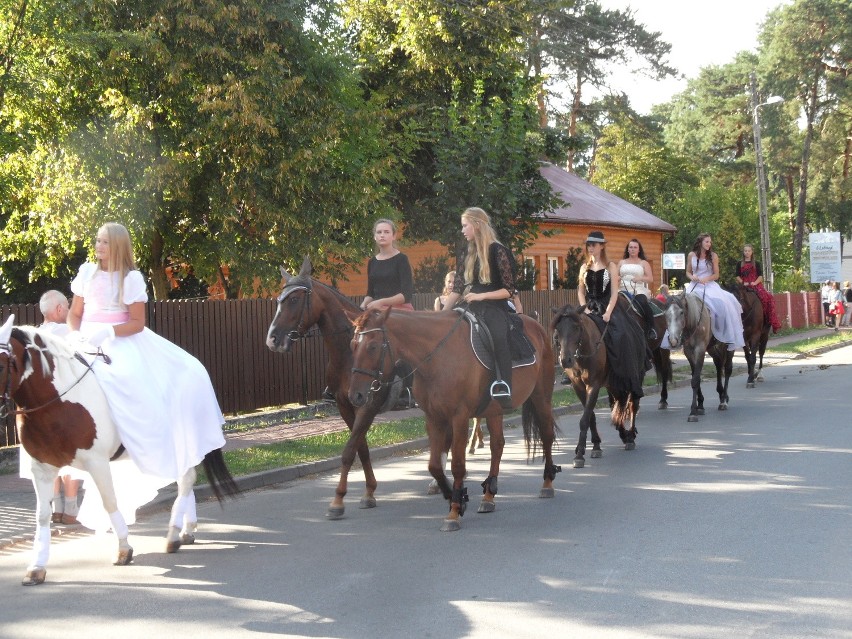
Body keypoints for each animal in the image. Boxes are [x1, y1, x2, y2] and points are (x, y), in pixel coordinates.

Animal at [0, 318, 240, 588]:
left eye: (1, 363)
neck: (58, 401)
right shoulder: (41, 467)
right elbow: (42, 516)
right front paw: (36, 566)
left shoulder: (96, 461)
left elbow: (109, 501)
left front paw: (124, 548)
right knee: (185, 482)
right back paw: (187, 530)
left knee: (186, 480)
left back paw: (173, 534)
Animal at [346, 308, 560, 532]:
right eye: (353, 345)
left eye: (372, 346)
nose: (355, 395)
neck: (437, 357)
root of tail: (536, 326)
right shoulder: (434, 418)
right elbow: (434, 466)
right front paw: (454, 497)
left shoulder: (459, 417)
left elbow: (457, 464)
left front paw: (454, 511)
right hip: (494, 410)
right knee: (497, 445)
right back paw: (488, 496)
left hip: (541, 397)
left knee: (546, 435)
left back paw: (547, 485)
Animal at [552, 302, 640, 468]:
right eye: (558, 329)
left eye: (576, 327)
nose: (565, 360)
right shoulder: (578, 386)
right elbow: (590, 415)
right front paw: (595, 445)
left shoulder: (594, 385)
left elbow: (584, 419)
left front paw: (580, 454)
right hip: (612, 385)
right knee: (617, 405)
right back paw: (623, 434)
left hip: (631, 381)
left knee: (632, 405)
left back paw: (630, 437)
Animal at [664, 292, 732, 422]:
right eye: (666, 313)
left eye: (681, 312)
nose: (673, 340)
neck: (694, 322)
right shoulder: (688, 352)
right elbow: (695, 375)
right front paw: (700, 405)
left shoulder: (700, 350)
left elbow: (695, 379)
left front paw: (693, 412)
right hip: (712, 348)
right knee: (718, 364)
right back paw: (721, 395)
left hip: (729, 346)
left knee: (727, 369)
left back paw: (724, 401)